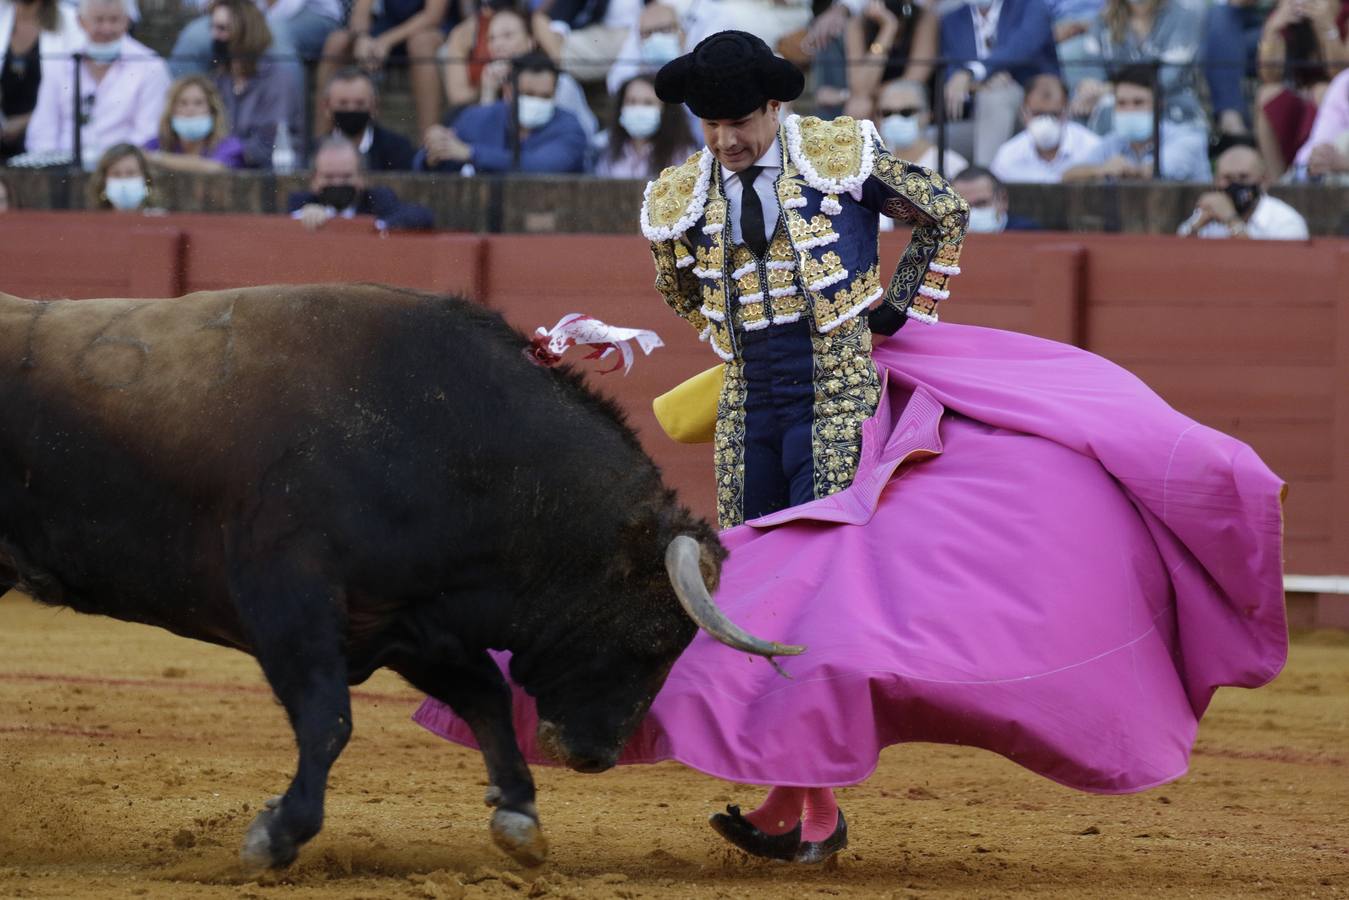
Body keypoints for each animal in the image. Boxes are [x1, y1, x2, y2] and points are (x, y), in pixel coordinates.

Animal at [0, 284, 798, 868]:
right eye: (653, 638)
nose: (595, 756)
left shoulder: (408, 619)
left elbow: (481, 694)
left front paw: (518, 816)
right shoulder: (289, 601)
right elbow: (329, 718)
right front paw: (276, 834)